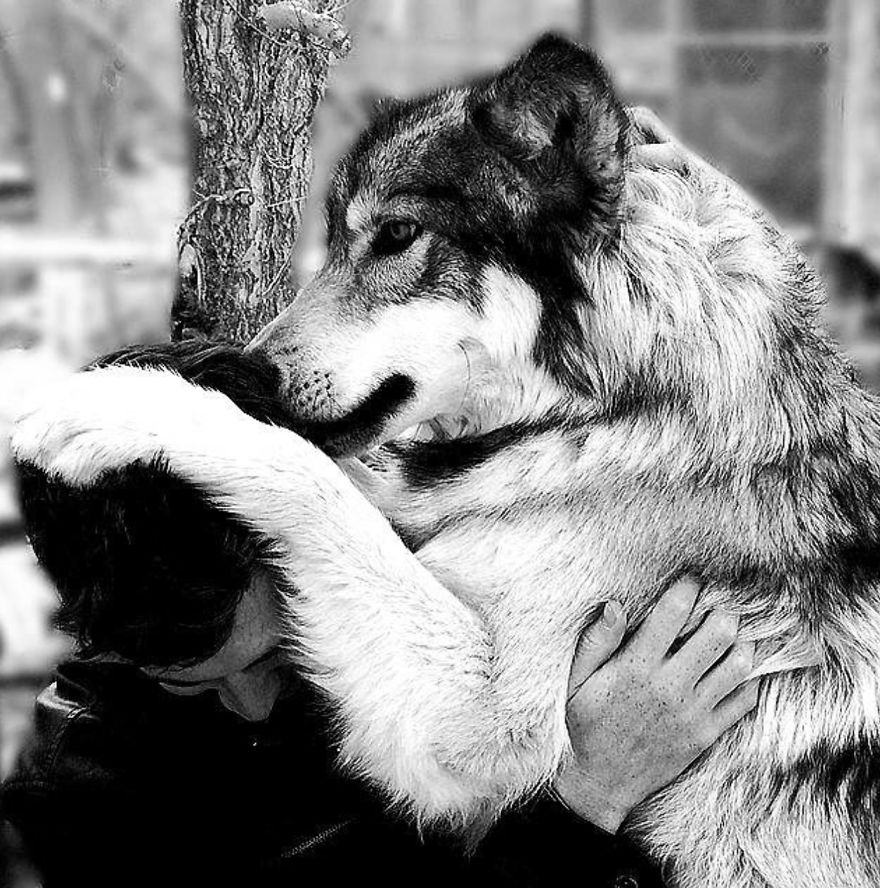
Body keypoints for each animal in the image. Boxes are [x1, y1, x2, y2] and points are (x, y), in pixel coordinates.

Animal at [13, 35, 880, 888]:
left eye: (397, 236)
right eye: (333, 243)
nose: (253, 368)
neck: (611, 413)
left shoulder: (485, 718)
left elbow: (306, 474)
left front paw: (116, 403)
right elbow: (338, 477)